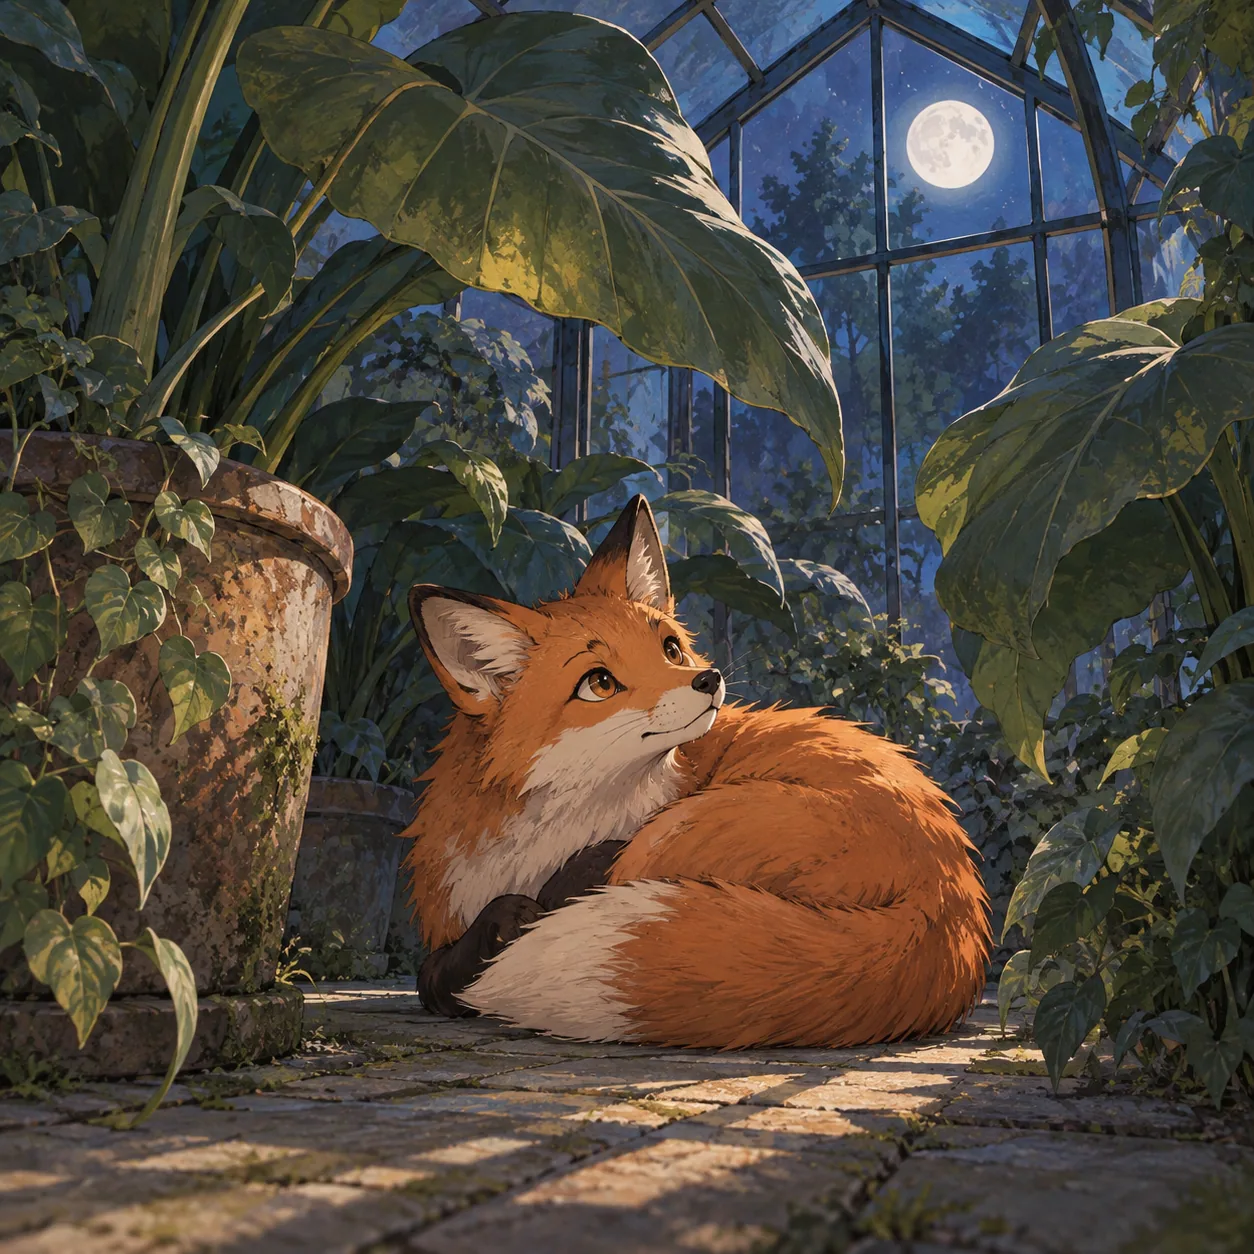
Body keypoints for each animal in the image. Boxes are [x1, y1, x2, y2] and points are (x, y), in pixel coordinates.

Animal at [401, 495, 991, 1048]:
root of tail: (955, 892)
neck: (548, 832)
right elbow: (436, 972)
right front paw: (492, 939)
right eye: (599, 683)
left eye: (670, 648)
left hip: (684, 828)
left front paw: (526, 918)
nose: (708, 679)